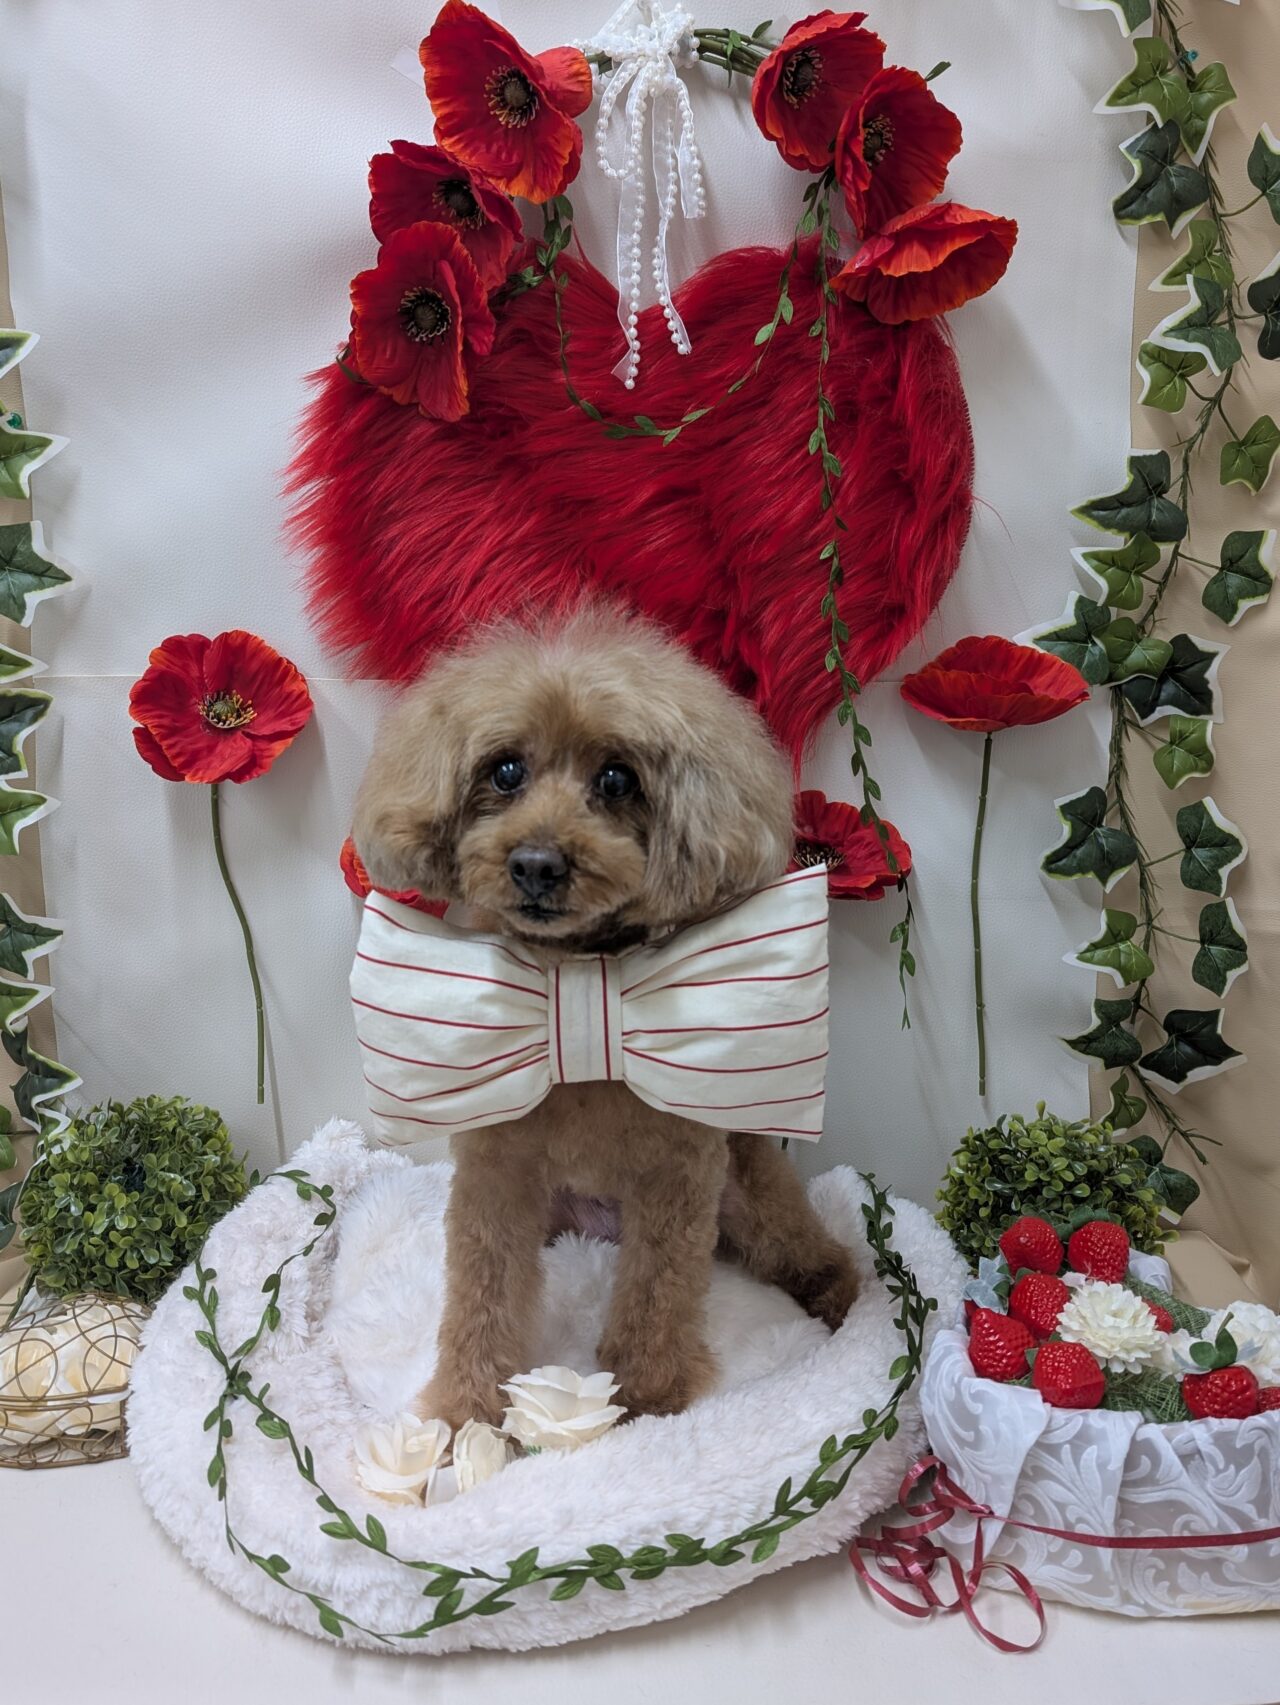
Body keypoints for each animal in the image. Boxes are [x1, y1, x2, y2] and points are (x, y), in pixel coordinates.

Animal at [353, 607, 858, 1429]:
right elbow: (482, 1291)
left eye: (617, 779)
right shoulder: (495, 1174)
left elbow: (659, 1292)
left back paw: (839, 1297)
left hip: (750, 1190)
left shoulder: (679, 1177)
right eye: (505, 771)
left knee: (805, 1248)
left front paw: (650, 1397)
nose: (536, 864)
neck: (579, 978)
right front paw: (466, 1411)